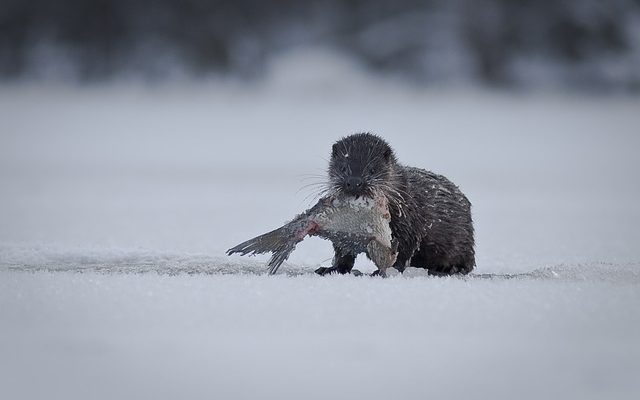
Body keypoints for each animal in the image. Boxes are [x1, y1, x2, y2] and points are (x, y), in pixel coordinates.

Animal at [316, 133, 476, 276]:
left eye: (372, 169)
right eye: (343, 167)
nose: (354, 182)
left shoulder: (408, 222)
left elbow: (404, 250)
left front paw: (386, 271)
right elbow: (343, 251)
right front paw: (331, 268)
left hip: (463, 240)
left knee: (467, 262)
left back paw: (450, 268)